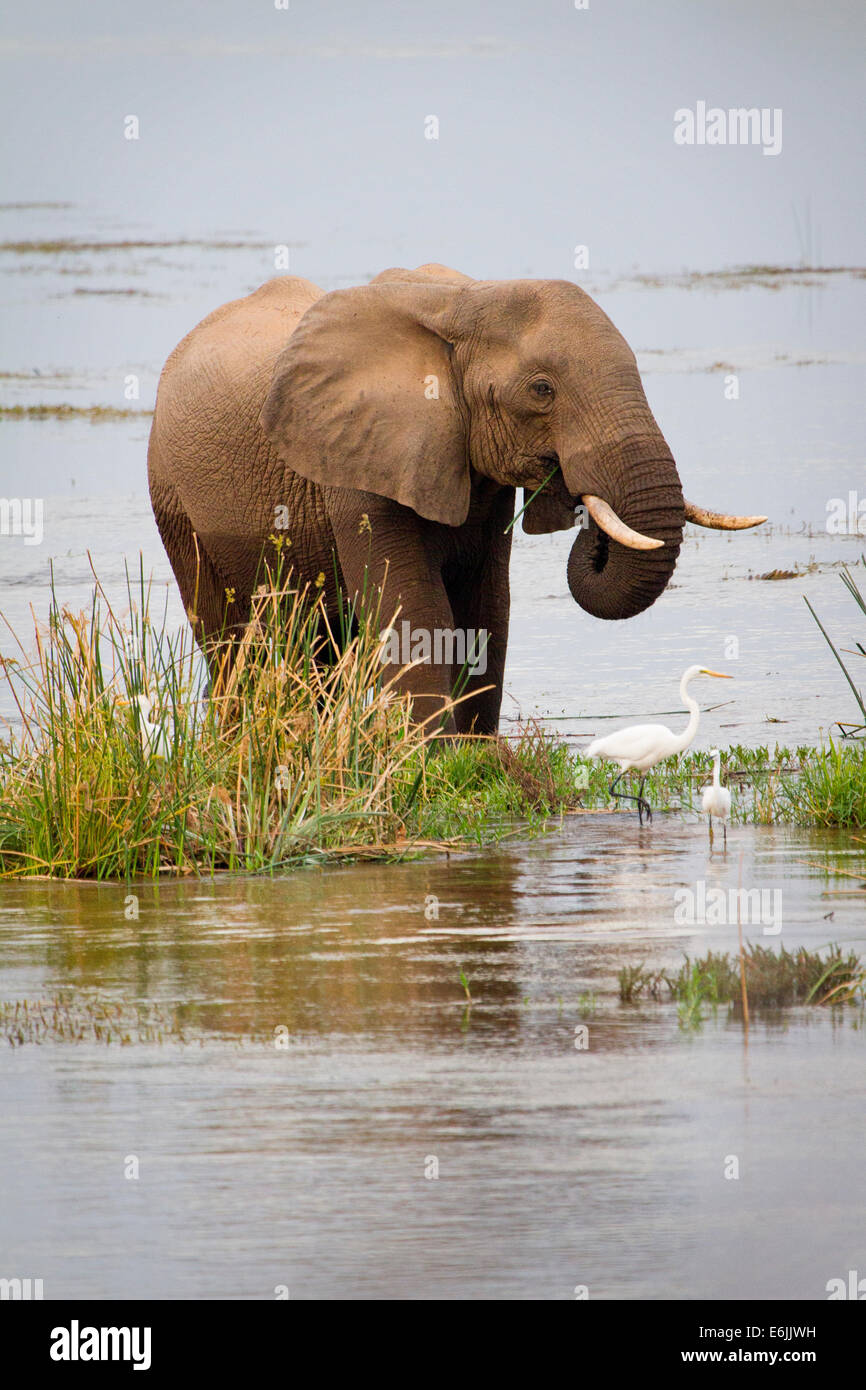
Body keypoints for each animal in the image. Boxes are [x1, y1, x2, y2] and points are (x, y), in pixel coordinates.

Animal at [150, 262, 767, 739]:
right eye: (542, 390)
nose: (583, 515)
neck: (464, 300)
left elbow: (486, 609)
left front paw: (474, 753)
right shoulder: (360, 463)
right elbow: (417, 610)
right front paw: (434, 758)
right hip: (172, 499)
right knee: (230, 638)